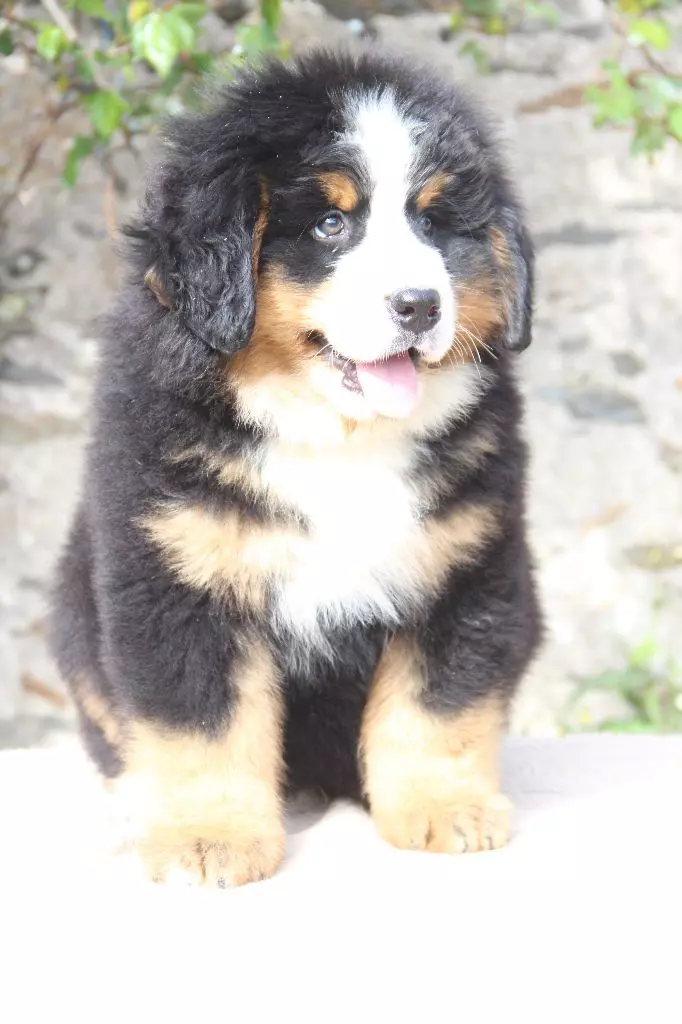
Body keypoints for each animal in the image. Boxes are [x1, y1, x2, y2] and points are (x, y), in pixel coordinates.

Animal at [50, 48, 540, 884]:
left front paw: (446, 809)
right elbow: (202, 724)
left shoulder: (466, 569)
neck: (335, 436)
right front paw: (206, 838)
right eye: (331, 223)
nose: (420, 305)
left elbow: (436, 706)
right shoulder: (180, 578)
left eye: (433, 223)